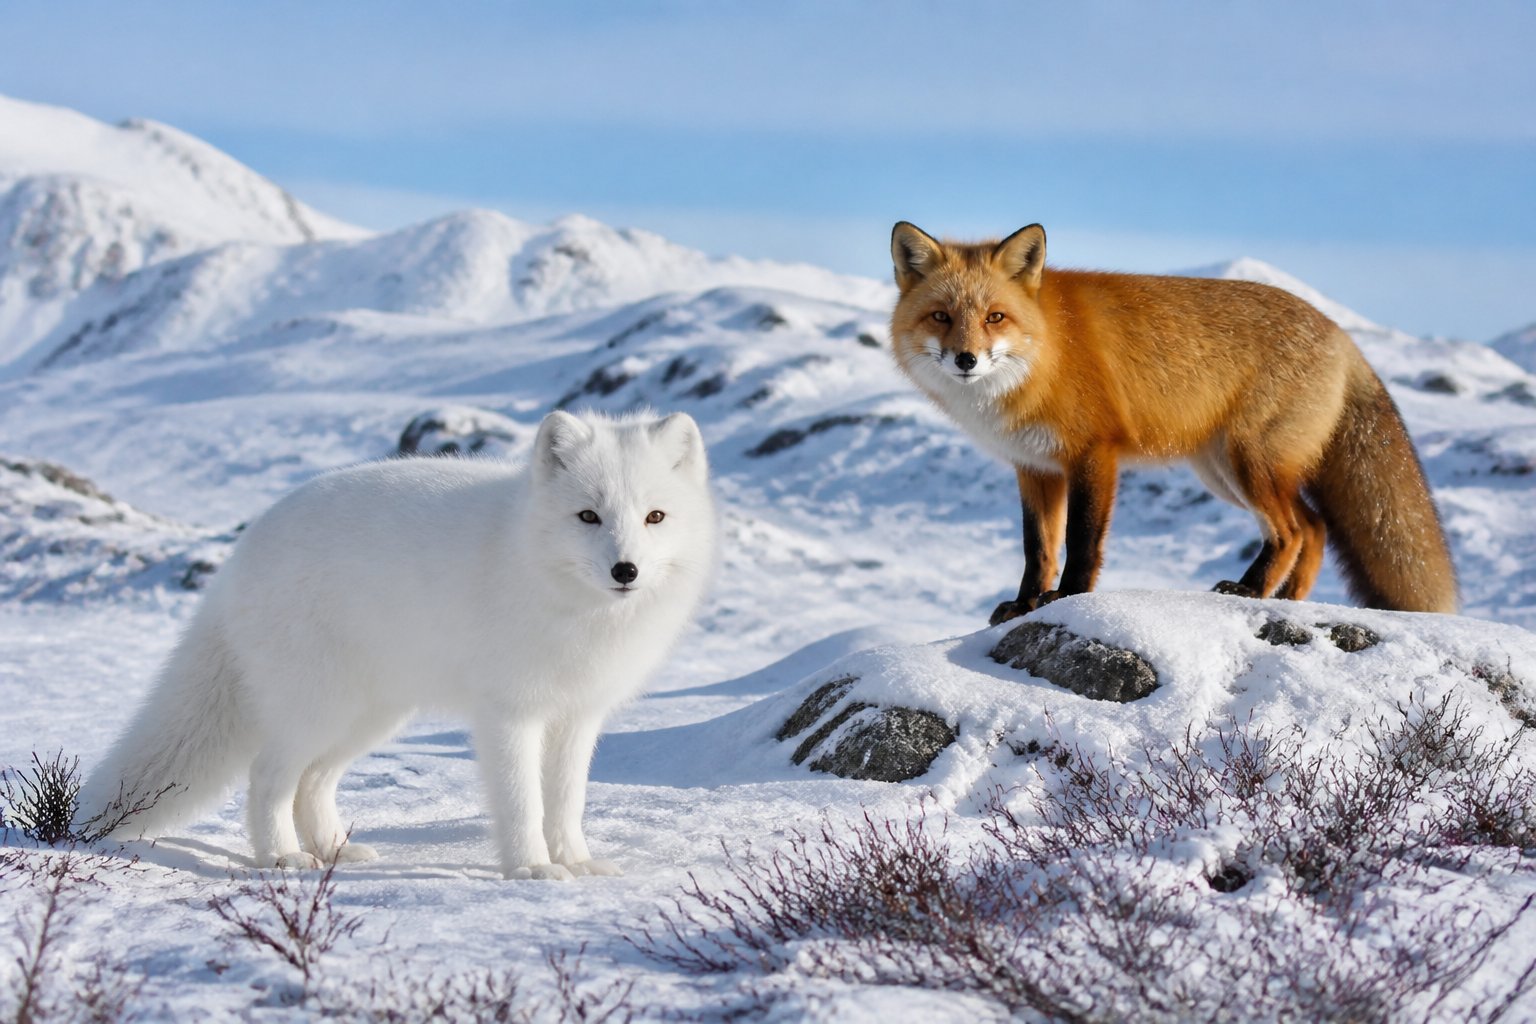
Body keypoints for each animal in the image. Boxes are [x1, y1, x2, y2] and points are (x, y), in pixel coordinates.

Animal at [79, 410, 715, 879]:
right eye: (588, 516)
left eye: (655, 517)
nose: (626, 570)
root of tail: (243, 550)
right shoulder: (509, 713)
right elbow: (521, 800)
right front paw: (530, 869)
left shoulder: (577, 716)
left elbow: (565, 801)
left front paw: (577, 863)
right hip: (317, 707)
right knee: (267, 778)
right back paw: (282, 856)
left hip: (371, 715)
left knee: (312, 782)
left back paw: (334, 849)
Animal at [888, 221, 1457, 625]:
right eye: (941, 316)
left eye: (994, 318)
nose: (966, 359)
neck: (1045, 352)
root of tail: (1341, 332)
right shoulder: (1034, 467)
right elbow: (1038, 549)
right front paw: (1024, 605)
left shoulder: (1093, 453)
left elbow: (1081, 541)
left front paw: (1067, 599)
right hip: (1226, 474)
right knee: (1315, 529)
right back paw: (1284, 601)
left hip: (1249, 463)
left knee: (1294, 530)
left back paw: (1251, 589)